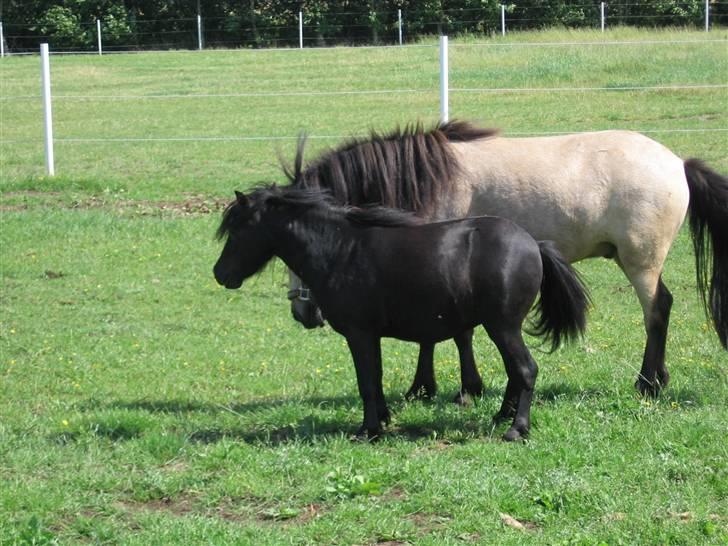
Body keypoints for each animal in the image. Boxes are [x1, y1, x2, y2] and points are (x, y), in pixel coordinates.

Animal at [215, 183, 592, 438]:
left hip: (503, 326)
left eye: (238, 229)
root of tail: (534, 244)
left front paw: (368, 430)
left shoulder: (358, 334)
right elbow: (376, 378)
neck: (341, 249)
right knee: (516, 372)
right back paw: (501, 417)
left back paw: (516, 429)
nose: (220, 274)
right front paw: (382, 420)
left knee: (526, 370)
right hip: (499, 327)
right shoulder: (371, 336)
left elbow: (367, 382)